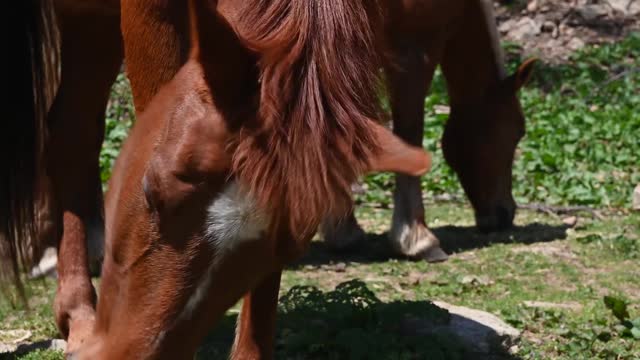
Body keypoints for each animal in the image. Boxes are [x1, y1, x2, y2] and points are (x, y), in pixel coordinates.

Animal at [322, 0, 536, 262]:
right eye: (519, 131)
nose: (506, 213)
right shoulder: (414, 50)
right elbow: (409, 134)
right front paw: (416, 239)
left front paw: (342, 229)